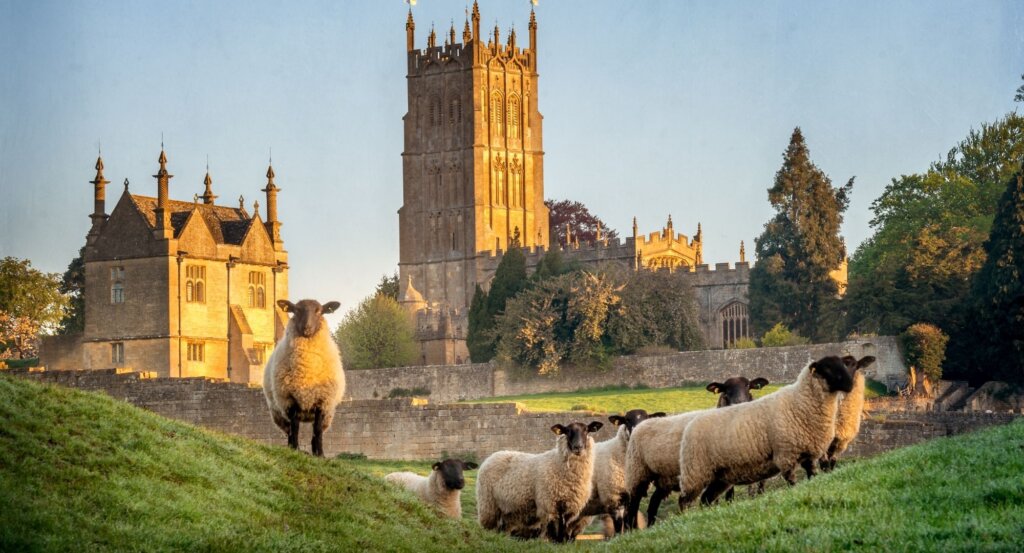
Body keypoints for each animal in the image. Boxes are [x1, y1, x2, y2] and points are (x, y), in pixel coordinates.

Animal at [262, 301, 346, 456]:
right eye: (296, 310)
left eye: (319, 311)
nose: (307, 328)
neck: (307, 367)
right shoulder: (290, 401)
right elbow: (295, 428)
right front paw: (295, 449)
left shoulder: (322, 402)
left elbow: (317, 431)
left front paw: (321, 455)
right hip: (278, 413)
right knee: (289, 430)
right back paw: (292, 447)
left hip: (328, 415)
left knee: (315, 431)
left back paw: (314, 452)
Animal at [679, 354, 856, 509]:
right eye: (826, 368)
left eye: (843, 364)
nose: (850, 385)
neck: (800, 401)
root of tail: (690, 425)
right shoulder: (785, 456)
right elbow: (792, 482)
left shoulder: (808, 455)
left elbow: (812, 476)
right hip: (696, 473)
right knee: (685, 500)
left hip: (719, 475)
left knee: (706, 498)